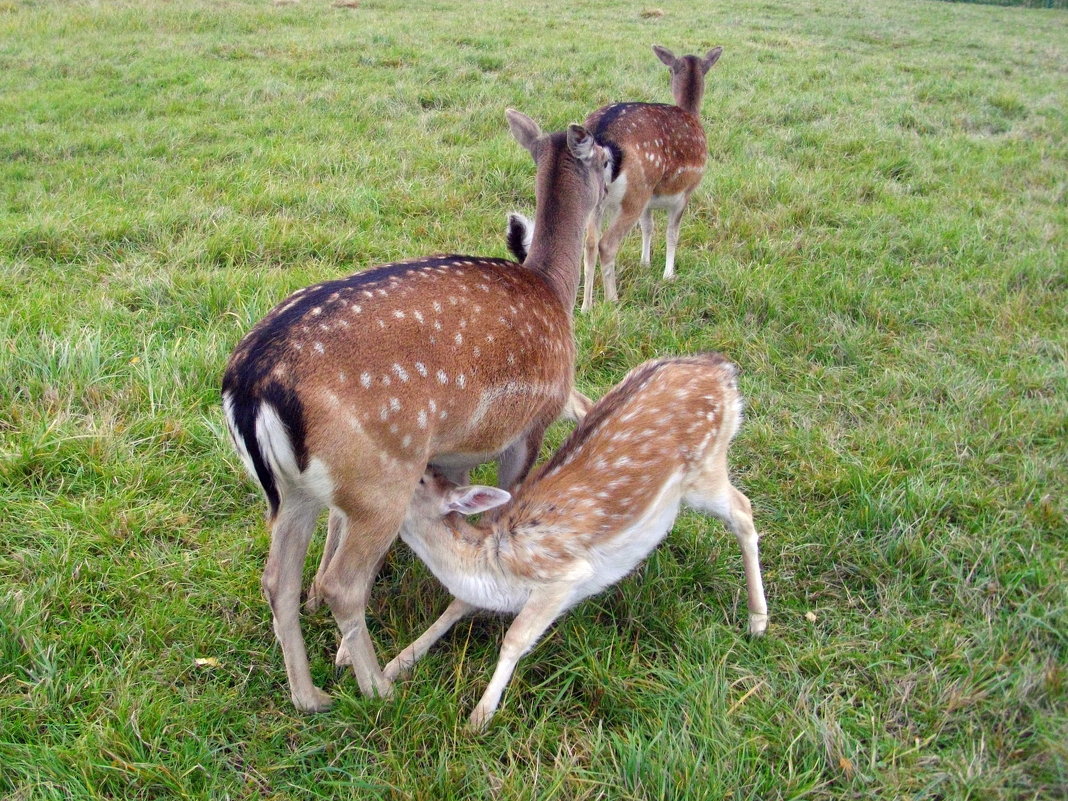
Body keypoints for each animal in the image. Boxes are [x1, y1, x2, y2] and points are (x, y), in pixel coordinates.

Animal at [221, 108, 610, 713]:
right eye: (606, 159)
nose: (614, 182)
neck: (553, 287)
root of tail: (249, 387)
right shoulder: (529, 426)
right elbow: (504, 503)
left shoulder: (451, 452)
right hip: (380, 479)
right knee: (340, 584)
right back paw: (377, 687)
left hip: (292, 490)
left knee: (276, 580)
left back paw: (311, 696)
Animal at [386, 354, 768, 730]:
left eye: (420, 478)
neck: (490, 561)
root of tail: (722, 370)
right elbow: (453, 608)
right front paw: (398, 662)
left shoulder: (562, 577)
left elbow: (515, 640)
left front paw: (478, 718)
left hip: (706, 470)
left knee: (743, 509)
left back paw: (757, 620)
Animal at [580, 45, 721, 311]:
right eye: (670, 70)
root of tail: (600, 137)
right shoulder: (685, 193)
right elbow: (672, 232)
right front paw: (669, 274)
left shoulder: (650, 199)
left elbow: (648, 227)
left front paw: (645, 263)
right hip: (634, 192)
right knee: (606, 244)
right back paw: (612, 300)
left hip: (600, 198)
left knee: (589, 243)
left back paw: (585, 307)